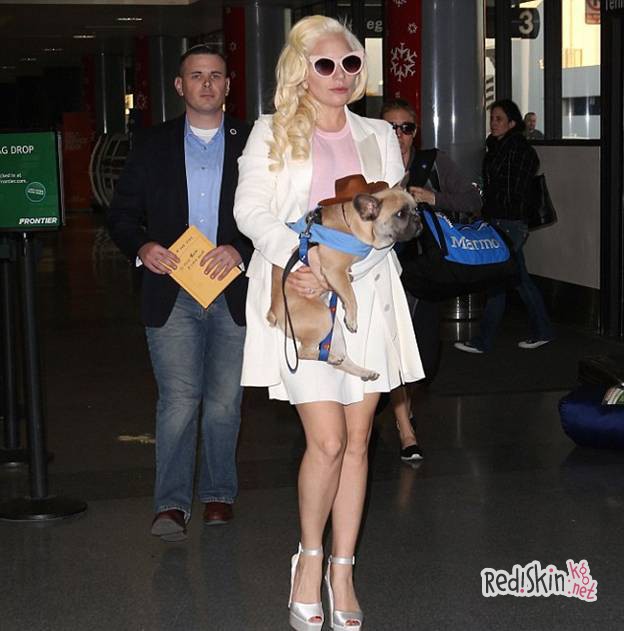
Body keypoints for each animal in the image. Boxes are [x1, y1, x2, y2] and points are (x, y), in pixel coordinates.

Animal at [266, 174, 422, 381]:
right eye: (400, 214)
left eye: (416, 208)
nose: (418, 219)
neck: (352, 224)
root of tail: (274, 312)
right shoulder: (334, 271)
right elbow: (351, 296)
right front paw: (352, 317)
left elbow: (346, 292)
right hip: (322, 318)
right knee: (303, 352)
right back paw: (332, 358)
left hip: (333, 328)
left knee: (339, 359)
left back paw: (359, 370)